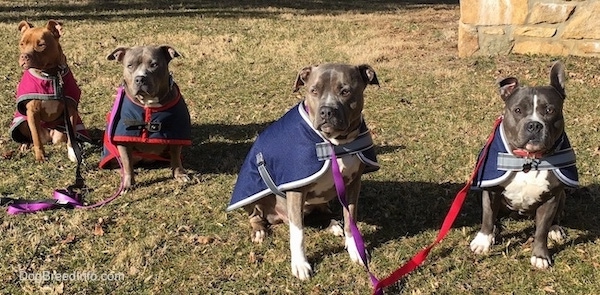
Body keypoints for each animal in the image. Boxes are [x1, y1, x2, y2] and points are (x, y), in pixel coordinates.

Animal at [9, 19, 88, 163]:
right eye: (22, 44)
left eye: (41, 45)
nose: (24, 56)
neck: (51, 75)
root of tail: (48, 137)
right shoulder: (32, 112)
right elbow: (36, 138)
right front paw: (40, 156)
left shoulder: (70, 109)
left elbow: (72, 134)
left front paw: (73, 153)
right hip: (23, 122)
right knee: (31, 136)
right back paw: (25, 145)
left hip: (60, 132)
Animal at [99, 45, 192, 190]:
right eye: (130, 65)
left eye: (154, 64)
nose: (140, 78)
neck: (149, 102)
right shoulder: (123, 141)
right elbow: (127, 162)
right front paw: (128, 183)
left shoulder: (176, 133)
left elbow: (176, 156)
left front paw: (179, 174)